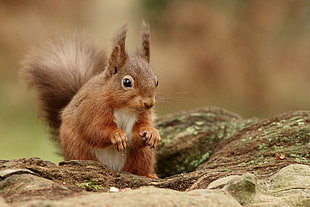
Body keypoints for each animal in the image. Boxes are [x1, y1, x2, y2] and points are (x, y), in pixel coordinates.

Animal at [22, 21, 160, 178]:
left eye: (156, 82)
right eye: (127, 82)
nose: (149, 103)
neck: (124, 108)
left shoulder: (142, 115)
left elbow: (136, 135)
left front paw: (151, 132)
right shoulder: (92, 108)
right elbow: (93, 129)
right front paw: (117, 134)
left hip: (142, 156)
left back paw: (149, 174)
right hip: (79, 150)